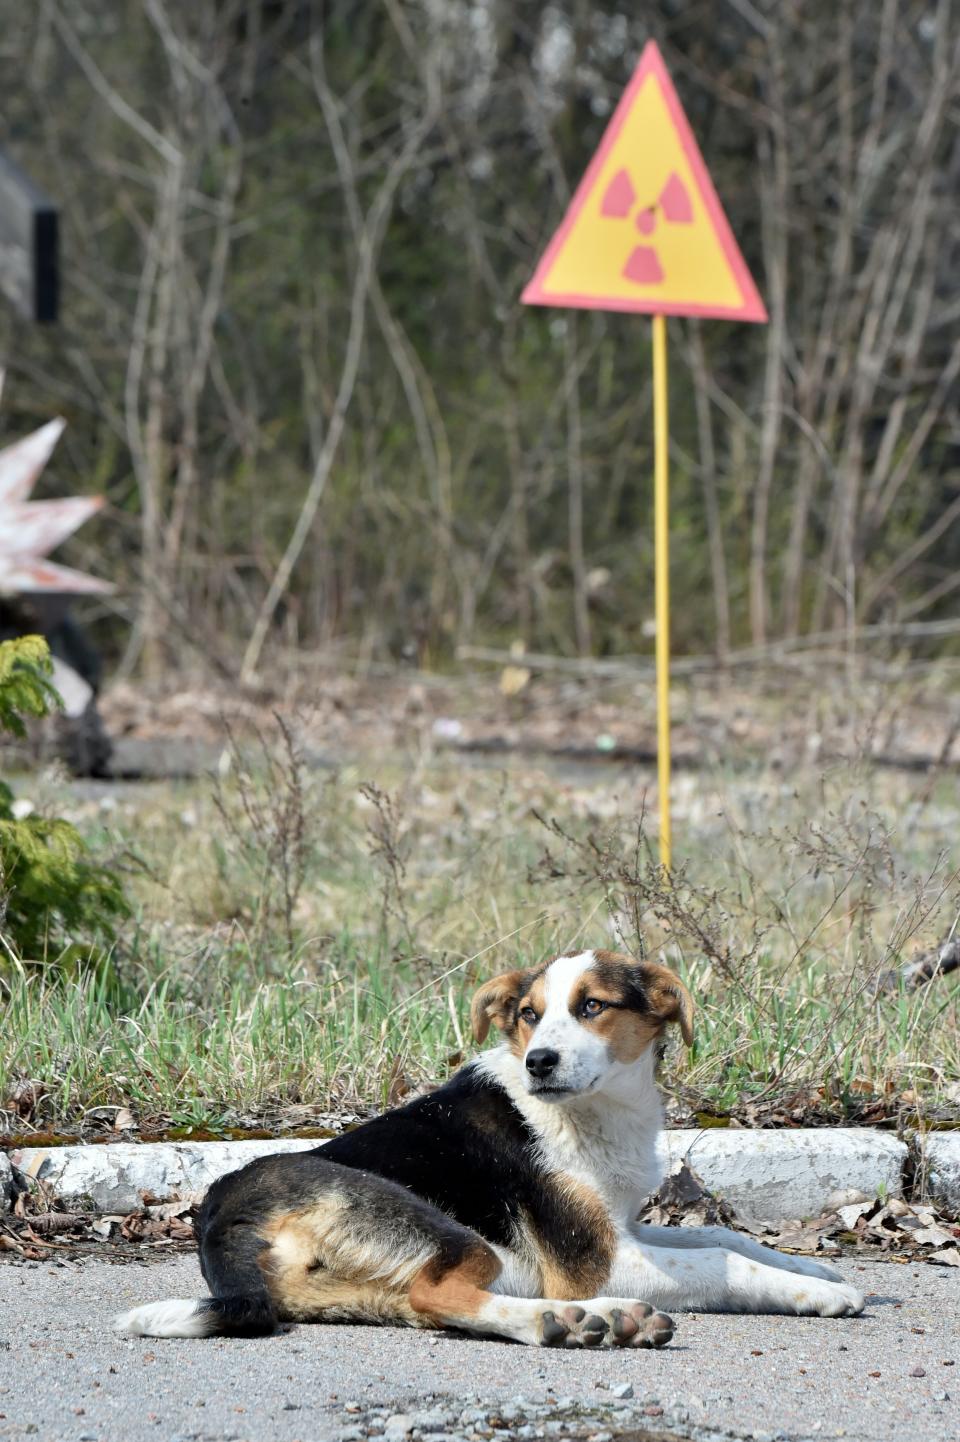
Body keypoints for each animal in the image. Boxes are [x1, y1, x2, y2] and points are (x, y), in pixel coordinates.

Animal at [116, 951, 864, 1343]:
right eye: (529, 1015)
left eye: (592, 1006)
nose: (539, 1062)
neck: (591, 1114)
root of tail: (219, 1217)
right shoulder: (594, 1260)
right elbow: (722, 1259)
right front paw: (818, 1294)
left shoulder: (621, 1229)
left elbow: (730, 1238)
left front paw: (811, 1267)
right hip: (443, 1229)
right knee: (440, 1293)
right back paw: (575, 1318)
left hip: (363, 1289)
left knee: (429, 1305)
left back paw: (593, 1320)